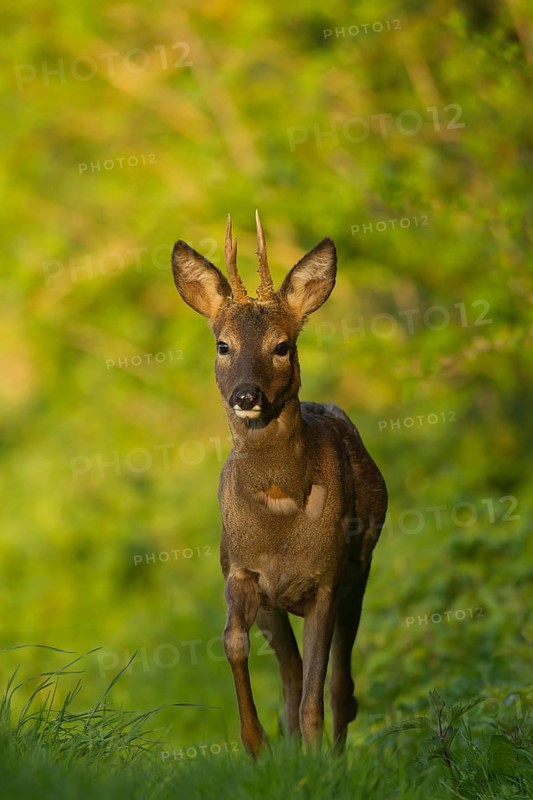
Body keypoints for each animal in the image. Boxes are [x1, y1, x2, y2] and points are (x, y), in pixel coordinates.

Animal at [170, 212, 387, 758]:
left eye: (282, 346)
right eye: (223, 345)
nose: (247, 396)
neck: (279, 517)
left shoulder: (327, 579)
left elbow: (317, 689)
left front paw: (315, 755)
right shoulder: (241, 571)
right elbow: (234, 643)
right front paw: (256, 744)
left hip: (361, 567)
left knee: (340, 686)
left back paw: (331, 752)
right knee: (292, 677)